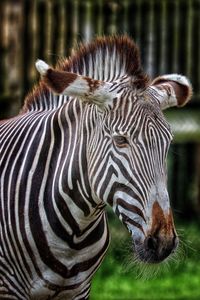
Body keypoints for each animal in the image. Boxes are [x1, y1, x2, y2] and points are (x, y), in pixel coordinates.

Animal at [0, 36, 192, 298]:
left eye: (168, 142)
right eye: (120, 140)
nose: (162, 243)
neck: (74, 236)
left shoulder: (80, 290)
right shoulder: (10, 288)